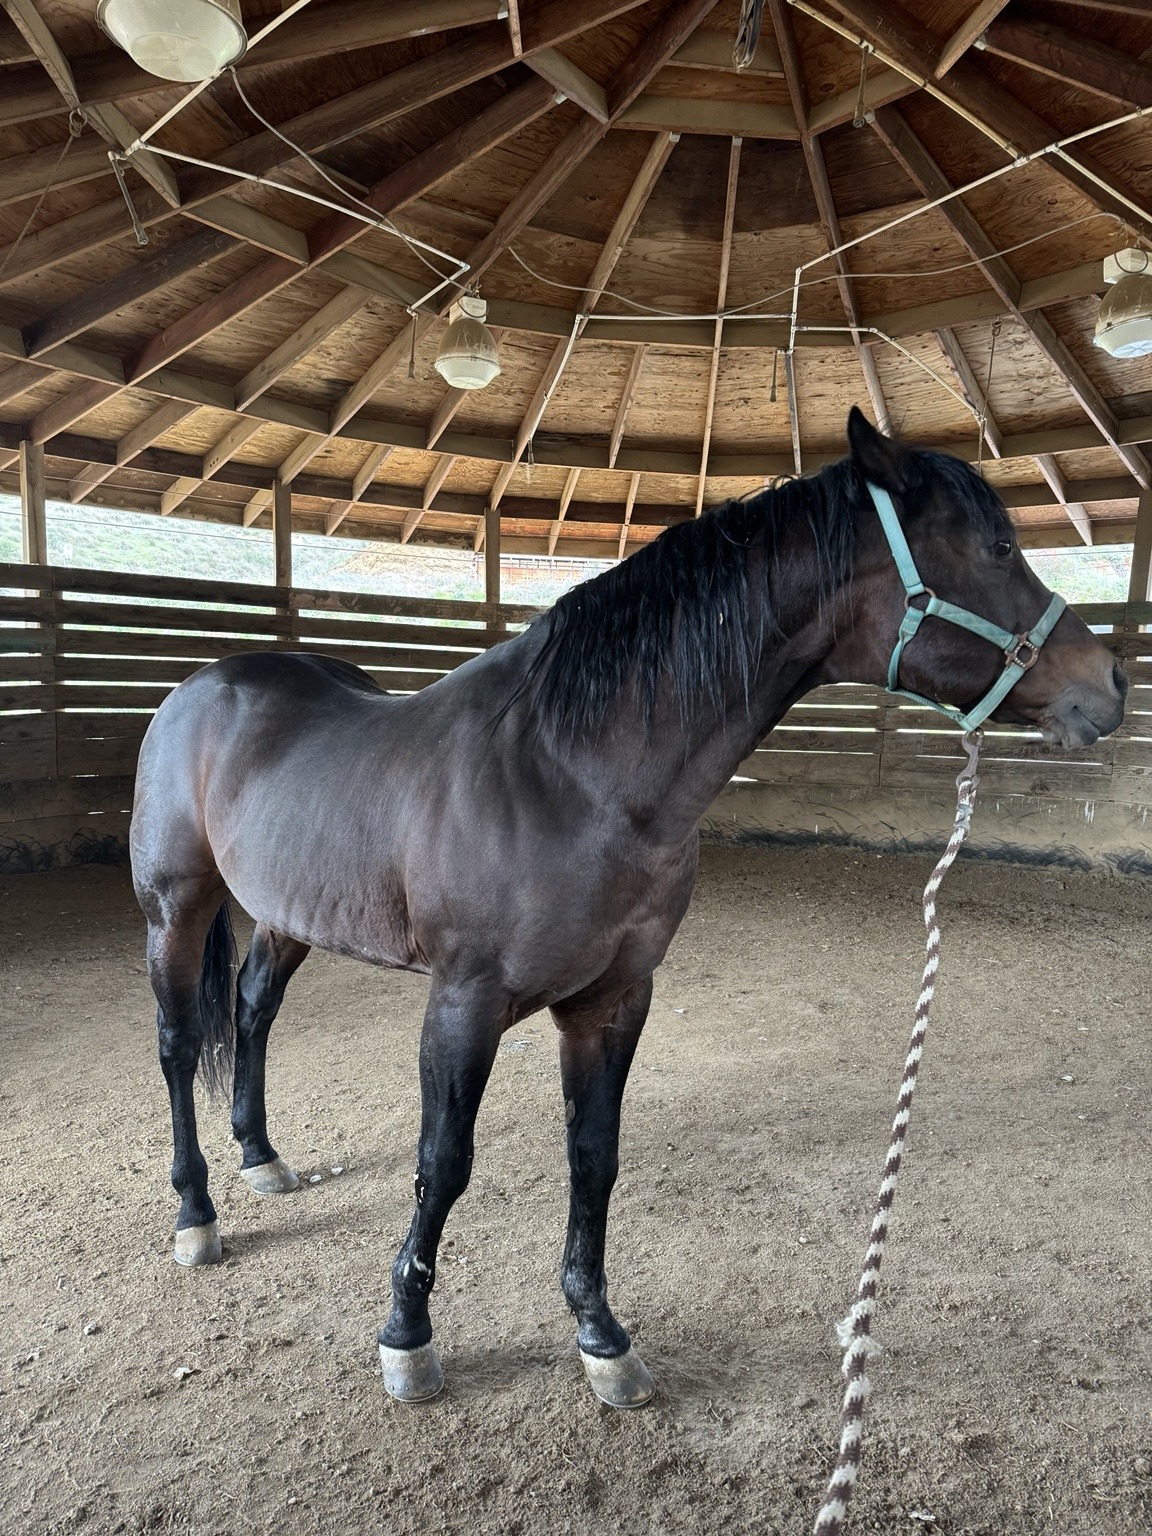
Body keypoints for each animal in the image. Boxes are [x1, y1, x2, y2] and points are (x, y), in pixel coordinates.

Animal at [130, 408, 1126, 1408]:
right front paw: (407, 1336)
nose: (1112, 681)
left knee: (253, 1011)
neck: (567, 772)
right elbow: (442, 1163)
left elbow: (593, 1157)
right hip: (176, 908)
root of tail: (201, 687)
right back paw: (196, 1213)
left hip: (287, 917)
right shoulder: (463, 1002)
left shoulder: (613, 999)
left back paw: (261, 1156)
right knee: (178, 1046)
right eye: (999, 546)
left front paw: (600, 1335)